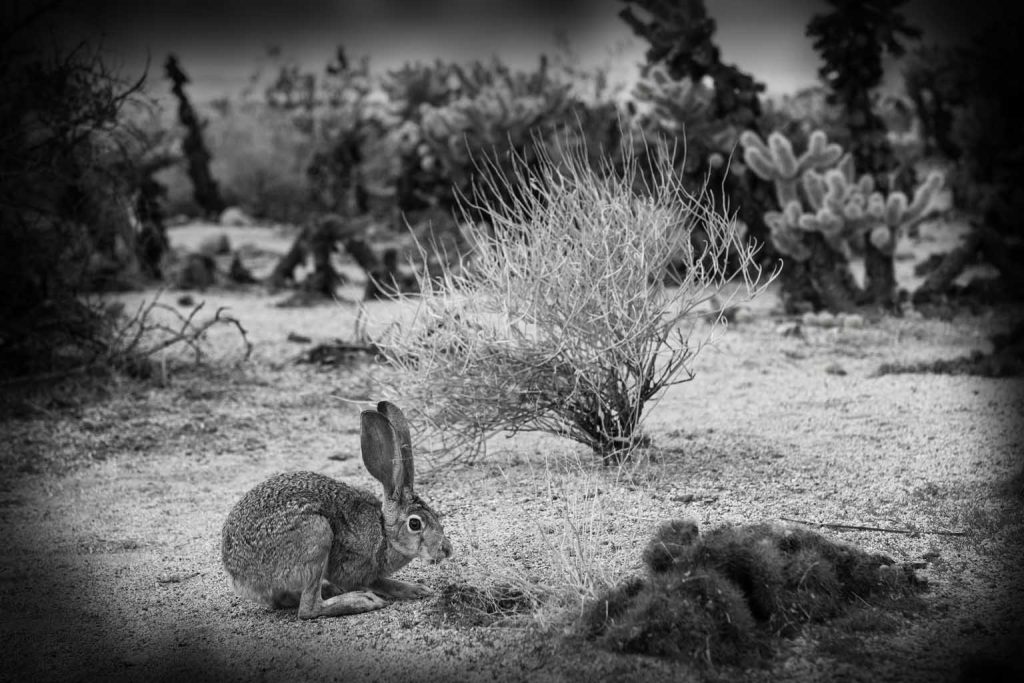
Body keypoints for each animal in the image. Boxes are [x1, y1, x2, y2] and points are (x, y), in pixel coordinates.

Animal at [221, 401, 452, 618]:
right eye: (415, 523)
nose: (447, 550)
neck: (384, 533)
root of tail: (239, 574)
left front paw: (418, 589)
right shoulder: (353, 568)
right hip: (317, 535)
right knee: (308, 608)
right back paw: (360, 601)